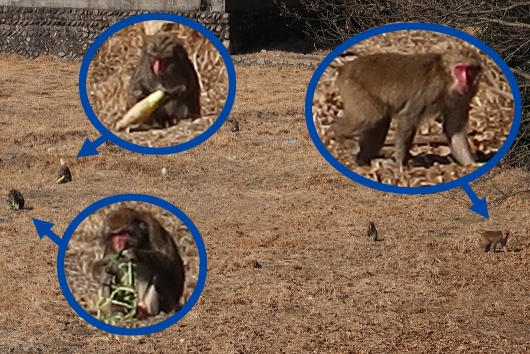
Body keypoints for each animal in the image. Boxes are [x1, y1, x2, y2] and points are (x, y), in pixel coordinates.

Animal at [332, 51, 480, 168]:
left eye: (470, 71)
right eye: (459, 69)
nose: (465, 82)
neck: (446, 79)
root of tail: (345, 67)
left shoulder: (462, 98)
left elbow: (454, 128)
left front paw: (470, 163)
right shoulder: (432, 88)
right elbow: (408, 117)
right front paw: (400, 164)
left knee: (381, 120)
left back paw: (365, 160)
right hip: (352, 86)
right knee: (372, 117)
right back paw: (337, 133)